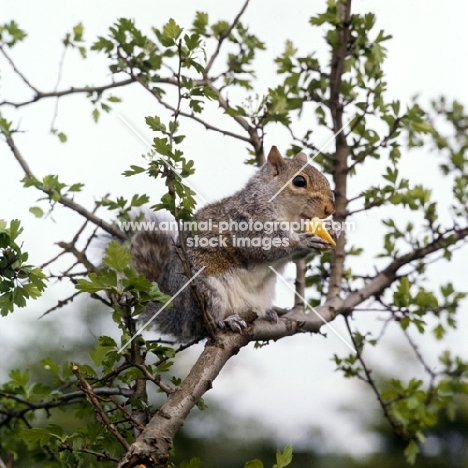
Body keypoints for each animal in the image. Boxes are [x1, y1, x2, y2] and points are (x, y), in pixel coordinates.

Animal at [128, 148, 334, 342]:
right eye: (299, 181)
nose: (330, 209)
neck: (289, 216)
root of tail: (179, 319)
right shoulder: (247, 220)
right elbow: (264, 246)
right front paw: (303, 240)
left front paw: (333, 230)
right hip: (206, 292)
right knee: (206, 323)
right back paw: (226, 321)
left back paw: (267, 313)